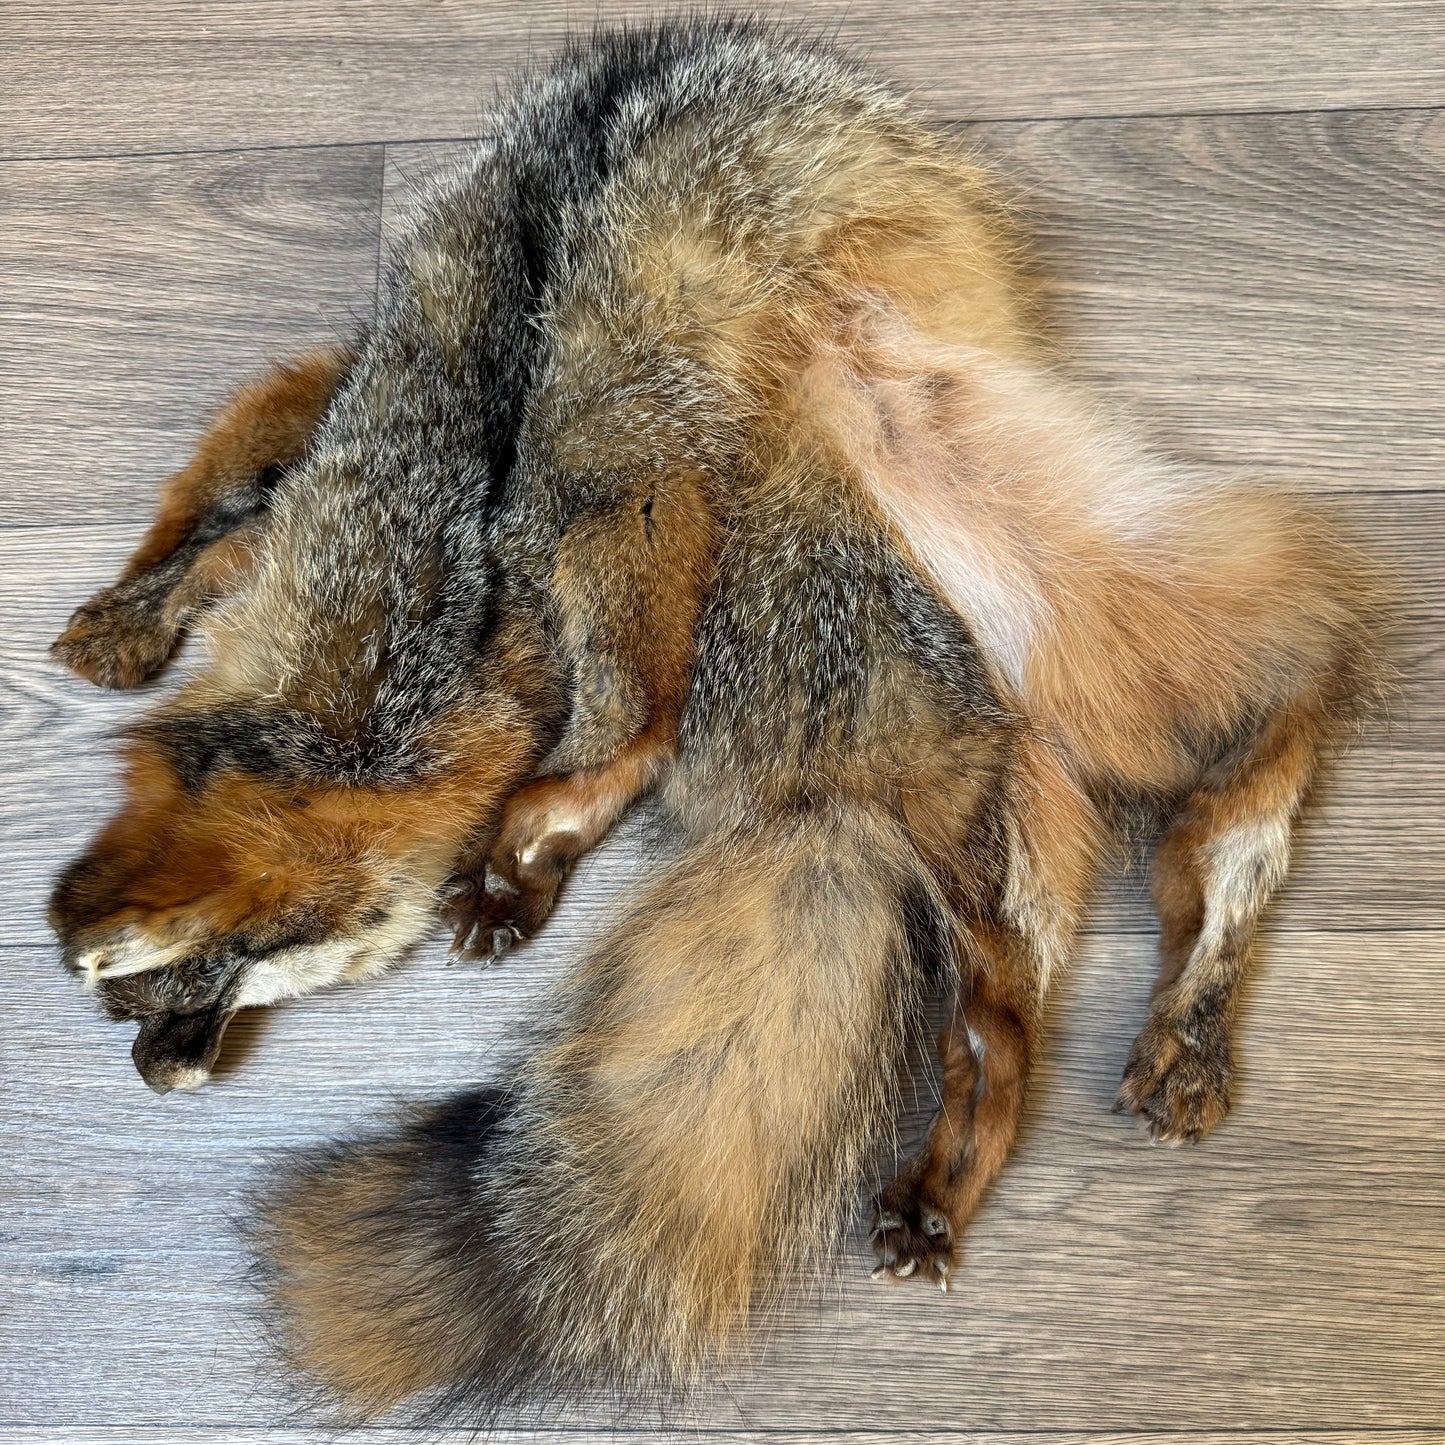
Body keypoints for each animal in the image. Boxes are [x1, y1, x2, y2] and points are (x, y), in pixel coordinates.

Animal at [48, 18, 1383, 1428]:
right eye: (137, 1019)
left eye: (183, 993)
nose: (152, 1077)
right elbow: (215, 518)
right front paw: (130, 616)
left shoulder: (517, 492)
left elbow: (583, 704)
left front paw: (523, 840)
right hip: (986, 561)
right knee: (1011, 1006)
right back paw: (1019, 1116)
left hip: (693, 429)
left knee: (1295, 668)